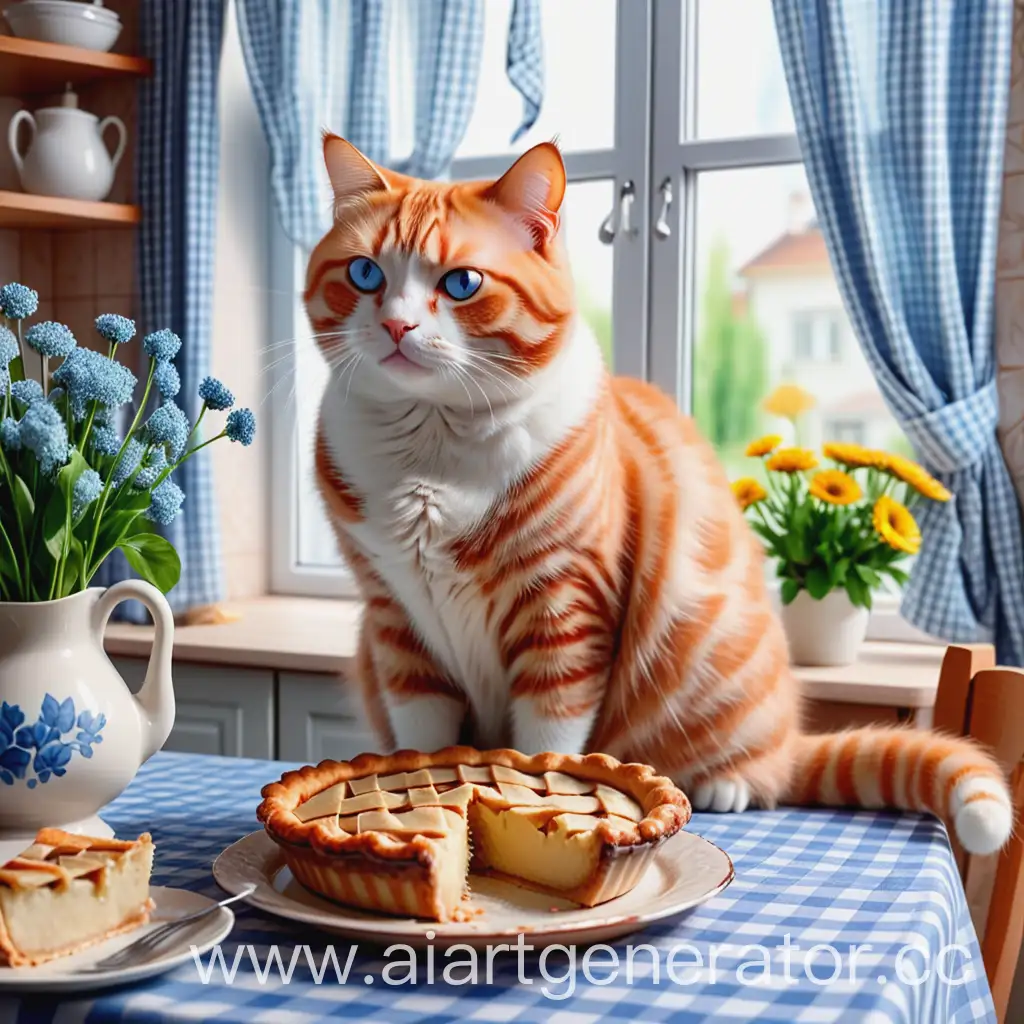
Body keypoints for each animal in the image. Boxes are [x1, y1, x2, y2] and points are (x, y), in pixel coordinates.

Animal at [301, 136, 1007, 856]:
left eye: (461, 283)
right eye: (365, 274)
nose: (396, 326)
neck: (432, 446)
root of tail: (788, 736)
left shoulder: (566, 610)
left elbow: (549, 738)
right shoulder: (396, 622)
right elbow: (420, 739)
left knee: (765, 769)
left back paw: (730, 783)